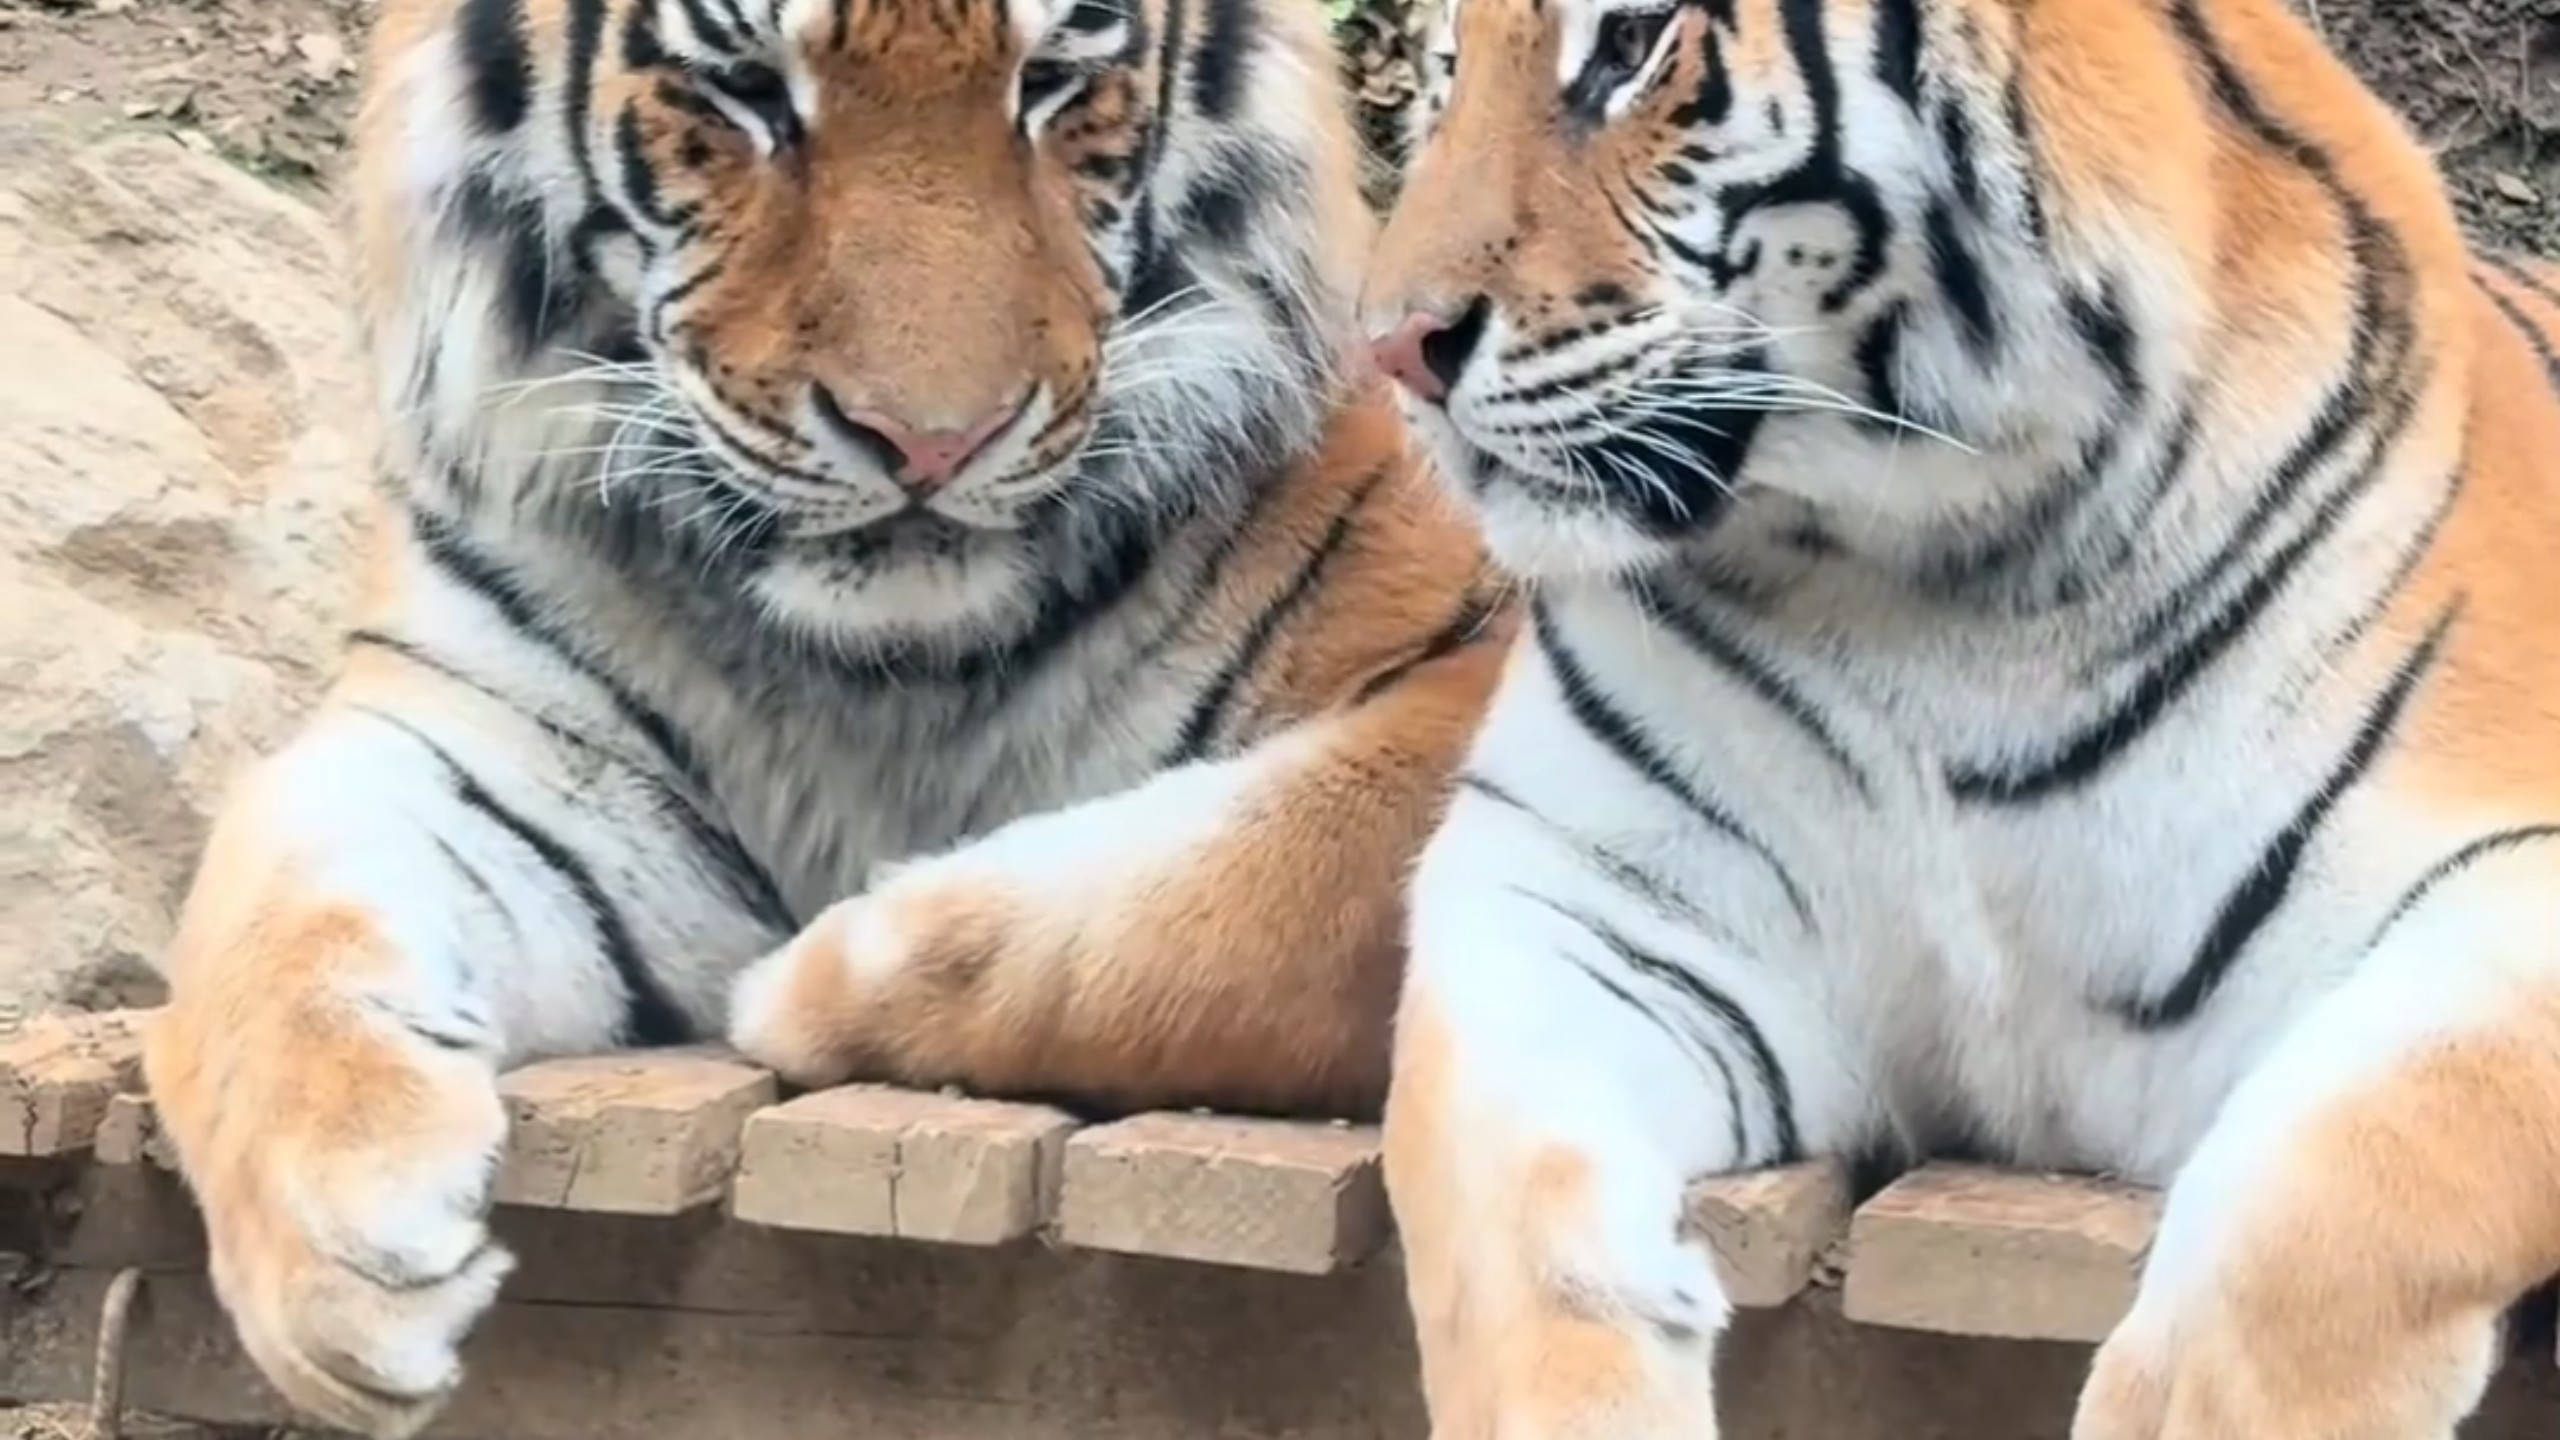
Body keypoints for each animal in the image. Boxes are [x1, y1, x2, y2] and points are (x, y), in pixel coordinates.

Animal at [133, 0, 1515, 1430]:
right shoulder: (485, 735)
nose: (933, 444)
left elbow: (1274, 888)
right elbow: (275, 889)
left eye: (1050, 81)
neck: (884, 671)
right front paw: (347, 1259)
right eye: (745, 89)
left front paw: (810, 974)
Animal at [1349, 0, 2560, 1430]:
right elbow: (1507, 1255)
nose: (1387, 348)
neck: (1926, 599)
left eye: (1634, 41)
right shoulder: (1573, 897)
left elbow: (2326, 1210)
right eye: (1444, 67)